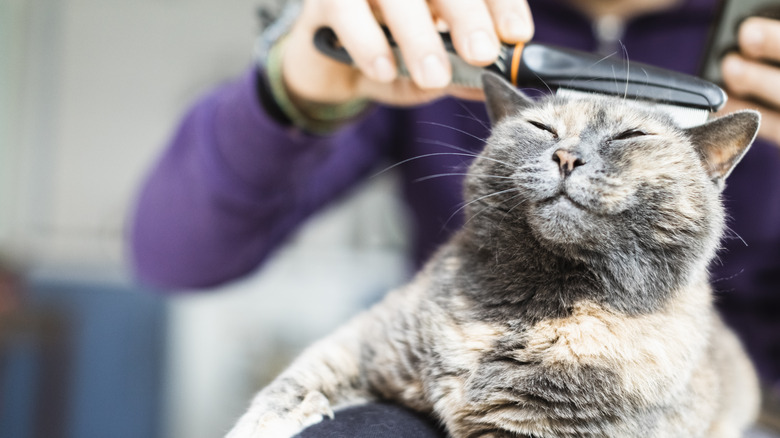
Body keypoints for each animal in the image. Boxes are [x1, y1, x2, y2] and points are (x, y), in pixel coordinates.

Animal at [225, 73, 760, 436]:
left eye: (630, 136)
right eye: (542, 128)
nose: (567, 155)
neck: (531, 305)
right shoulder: (366, 339)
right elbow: (296, 380)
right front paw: (264, 422)